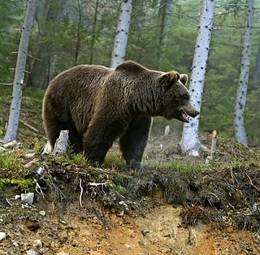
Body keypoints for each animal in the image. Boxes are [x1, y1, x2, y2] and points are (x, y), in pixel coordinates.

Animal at [42, 61, 199, 169]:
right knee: (62, 129)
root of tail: (54, 79)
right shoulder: (114, 103)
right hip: (63, 103)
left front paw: (135, 165)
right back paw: (70, 151)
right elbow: (101, 131)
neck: (136, 99)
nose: (196, 111)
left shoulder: (138, 116)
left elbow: (135, 139)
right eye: (185, 96)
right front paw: (94, 160)